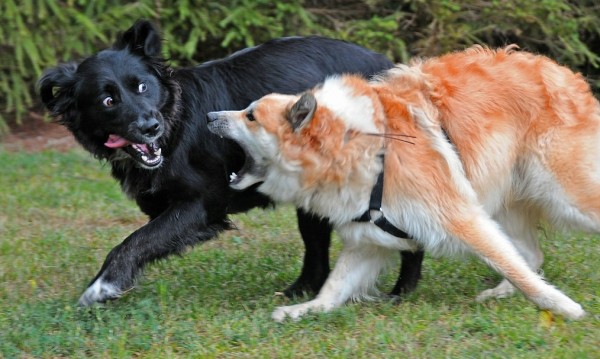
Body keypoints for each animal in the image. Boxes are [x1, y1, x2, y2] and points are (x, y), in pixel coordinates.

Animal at [38, 20, 422, 306]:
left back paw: (401, 292)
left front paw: (101, 287)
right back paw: (299, 291)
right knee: (317, 248)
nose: (150, 127)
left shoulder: (203, 203)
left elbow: (134, 241)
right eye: (108, 100)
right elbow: (146, 239)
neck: (175, 124)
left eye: (143, 87)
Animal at [207, 46, 596, 322]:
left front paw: (565, 308)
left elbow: (514, 268)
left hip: (565, 196)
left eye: (251, 116)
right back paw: (498, 294)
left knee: (531, 254)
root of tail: (561, 71)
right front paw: (303, 310)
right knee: (531, 254)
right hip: (504, 200)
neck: (356, 146)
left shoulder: (461, 218)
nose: (210, 116)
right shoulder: (368, 240)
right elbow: (334, 287)